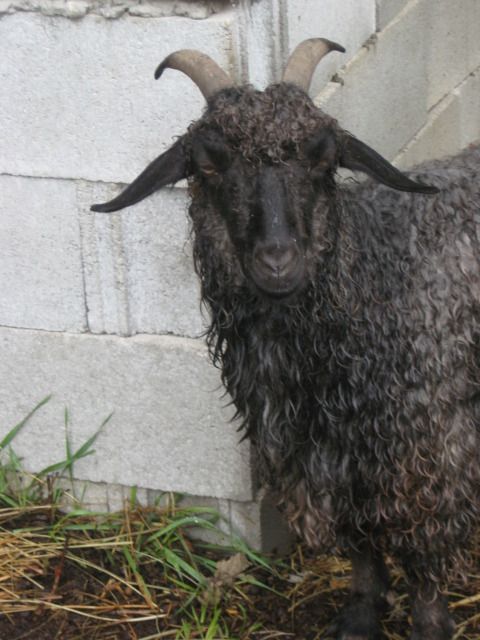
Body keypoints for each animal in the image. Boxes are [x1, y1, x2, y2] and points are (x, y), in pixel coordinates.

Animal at [91, 39, 480, 639]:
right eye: (208, 162)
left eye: (323, 155)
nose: (278, 261)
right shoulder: (320, 456)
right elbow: (361, 545)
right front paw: (360, 615)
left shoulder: (431, 449)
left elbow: (425, 553)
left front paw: (431, 625)